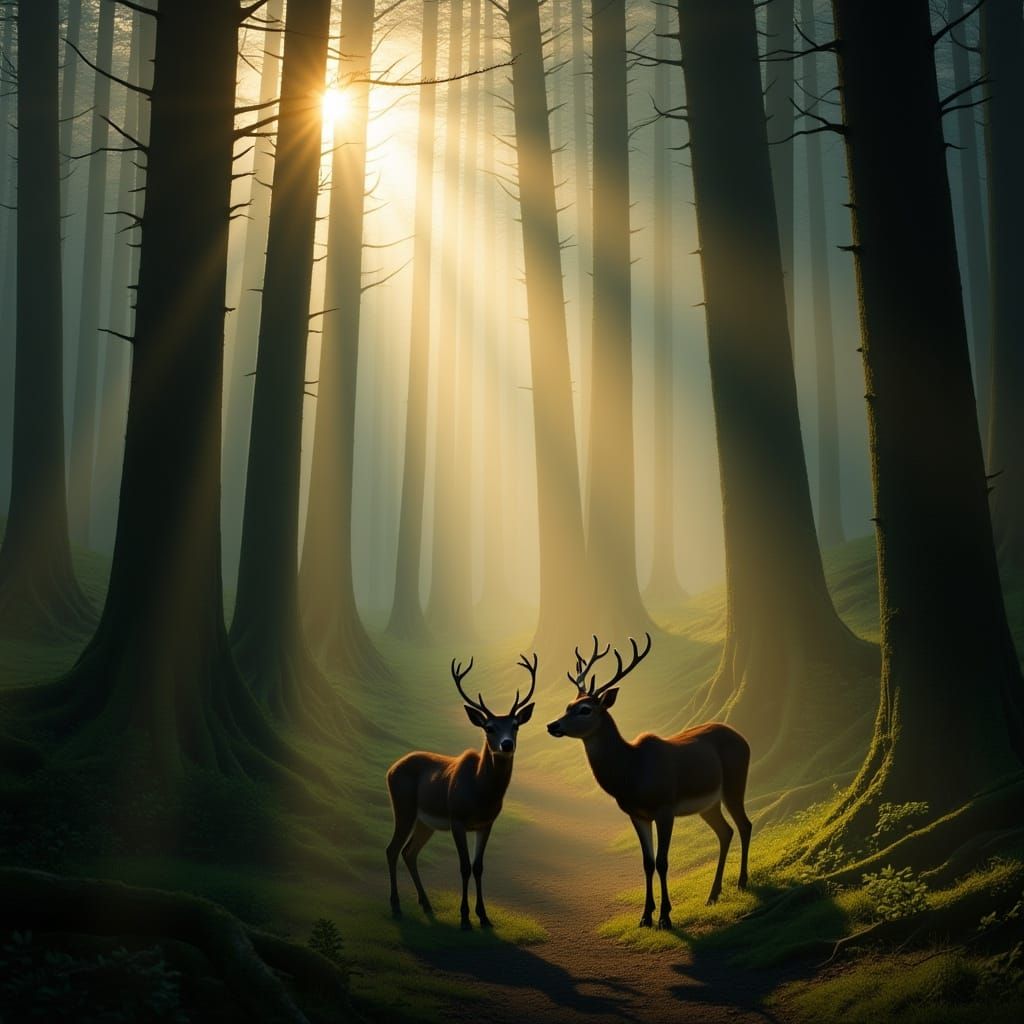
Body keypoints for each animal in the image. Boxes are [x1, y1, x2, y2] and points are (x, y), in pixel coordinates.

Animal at [386, 653, 537, 930]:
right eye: (489, 727)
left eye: (516, 725)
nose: (506, 744)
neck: (480, 793)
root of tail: (391, 769)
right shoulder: (456, 819)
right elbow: (464, 867)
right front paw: (465, 917)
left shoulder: (486, 823)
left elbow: (478, 867)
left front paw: (484, 917)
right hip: (403, 808)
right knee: (392, 849)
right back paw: (397, 906)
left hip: (425, 823)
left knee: (409, 852)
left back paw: (426, 904)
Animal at [547, 634, 752, 929]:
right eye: (568, 706)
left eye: (585, 709)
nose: (552, 725)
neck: (632, 774)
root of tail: (743, 737)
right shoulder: (636, 814)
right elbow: (647, 862)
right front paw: (645, 916)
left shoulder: (665, 808)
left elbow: (663, 861)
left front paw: (666, 916)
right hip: (708, 804)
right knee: (726, 831)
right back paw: (712, 895)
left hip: (736, 782)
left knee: (745, 825)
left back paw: (742, 882)